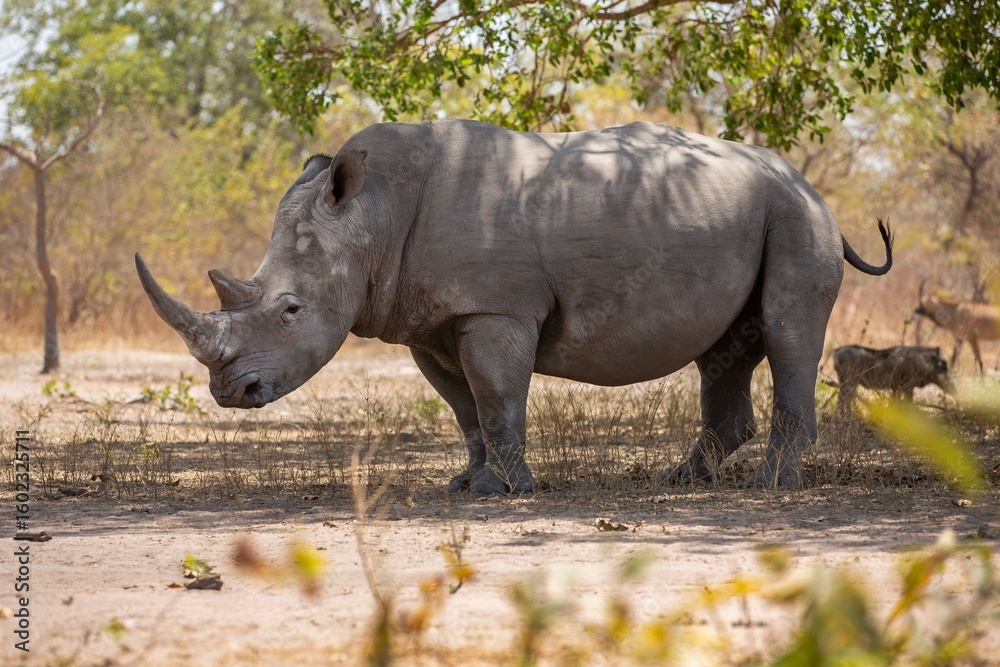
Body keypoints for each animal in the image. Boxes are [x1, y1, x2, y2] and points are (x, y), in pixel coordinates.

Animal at [135, 120, 892, 493]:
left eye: (290, 310)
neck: (367, 217)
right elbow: (465, 408)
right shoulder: (429, 321)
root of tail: (809, 185)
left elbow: (498, 396)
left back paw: (770, 485)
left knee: (790, 334)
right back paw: (683, 480)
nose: (230, 392)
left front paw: (510, 490)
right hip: (747, 213)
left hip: (797, 215)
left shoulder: (494, 309)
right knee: (724, 351)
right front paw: (465, 484)